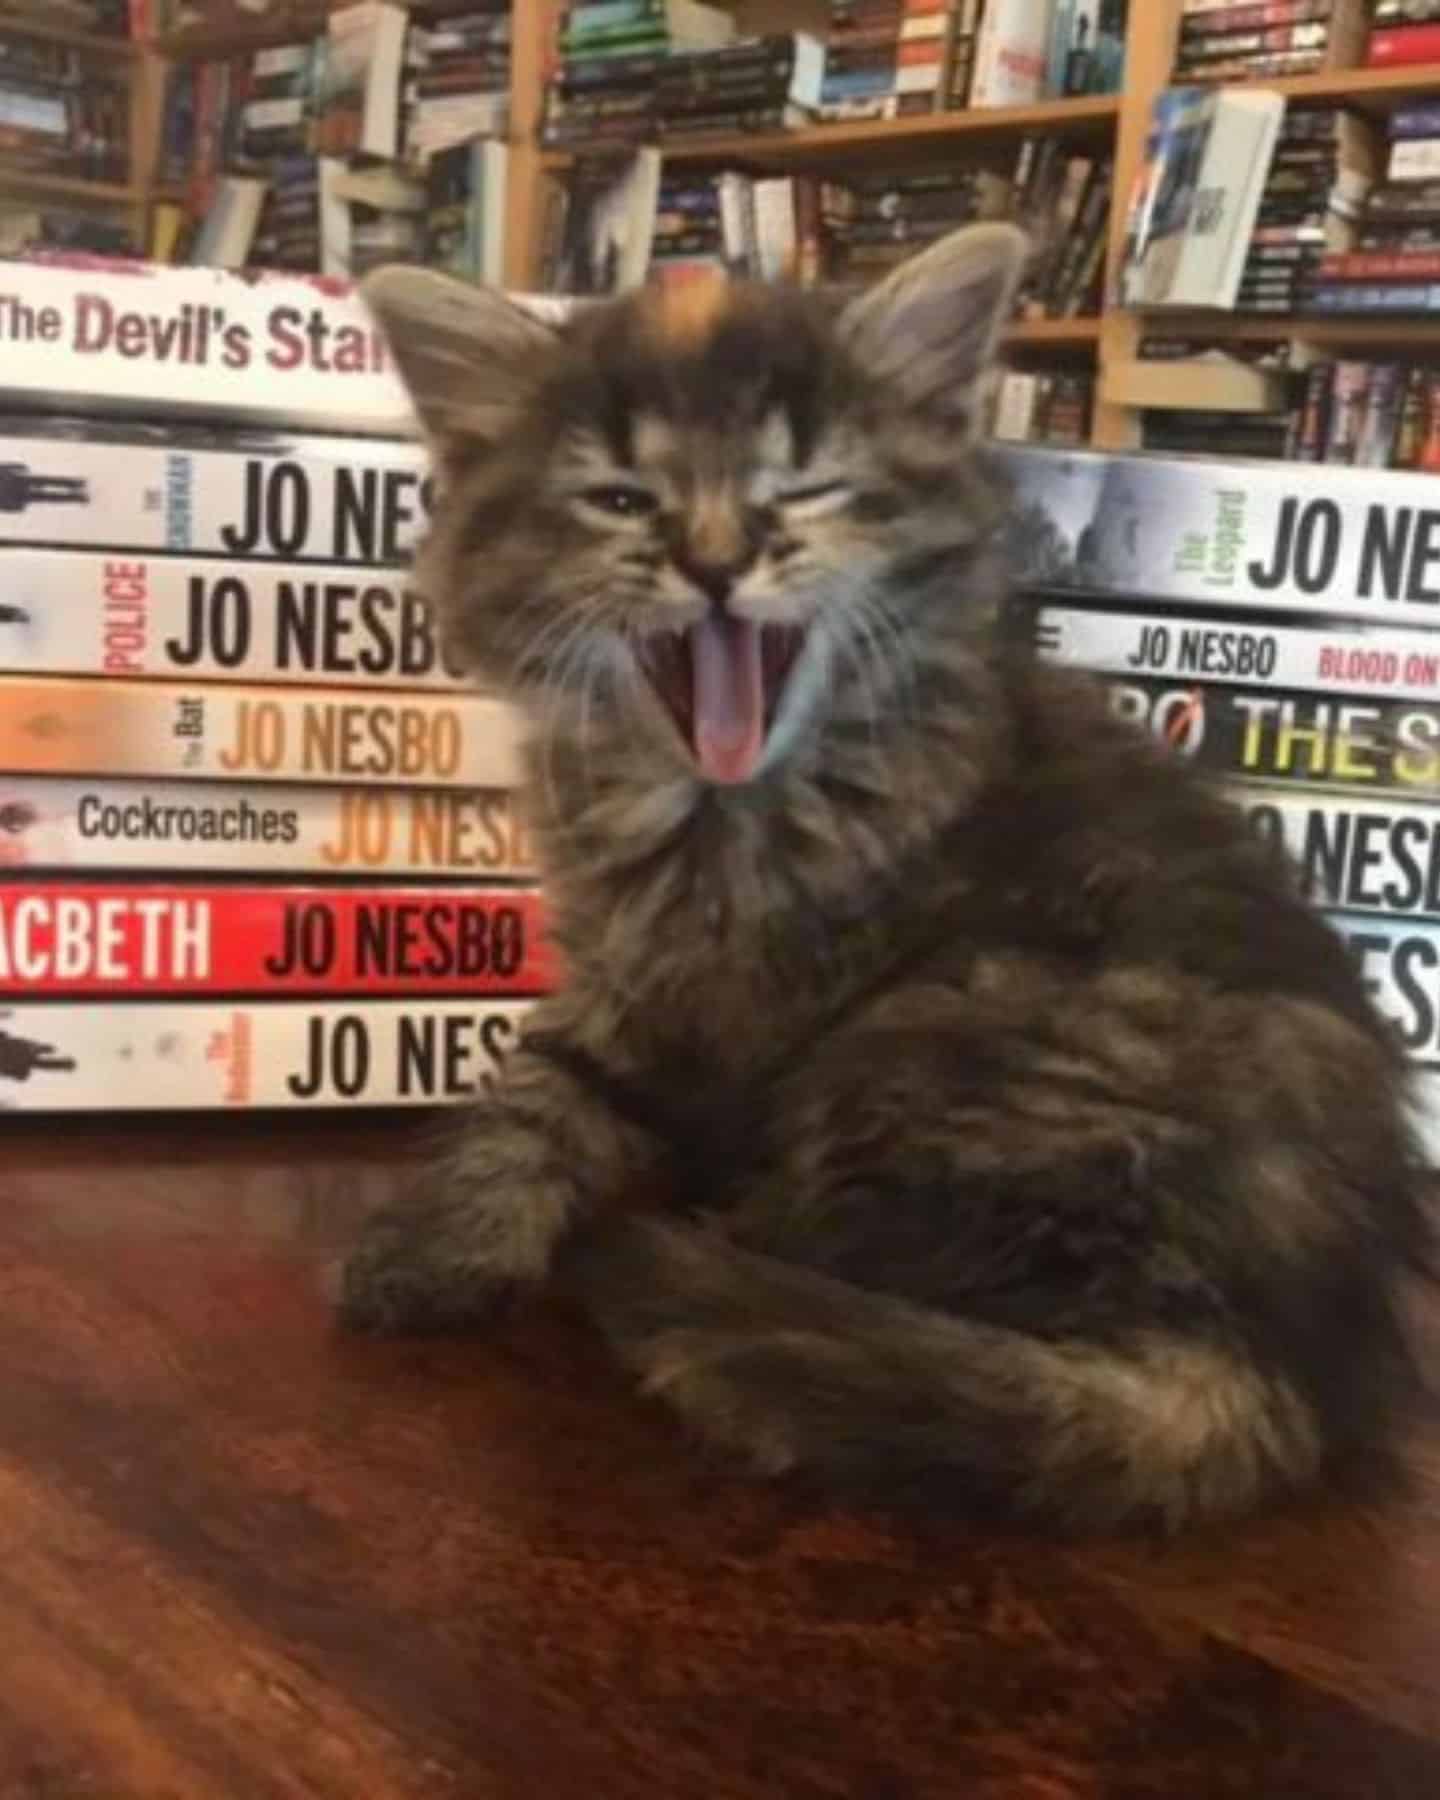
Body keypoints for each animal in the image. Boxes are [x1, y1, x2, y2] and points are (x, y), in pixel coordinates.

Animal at [343, 217, 1432, 1526]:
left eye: (799, 492)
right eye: (622, 501)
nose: (716, 561)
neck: (718, 802)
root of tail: (1272, 1362)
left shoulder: (745, 1005)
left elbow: (573, 1093)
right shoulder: (621, 973)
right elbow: (541, 1092)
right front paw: (438, 1238)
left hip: (961, 1031)